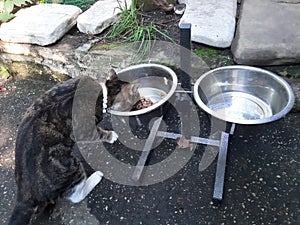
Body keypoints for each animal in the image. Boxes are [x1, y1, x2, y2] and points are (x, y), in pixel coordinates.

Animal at [7, 69, 140, 225]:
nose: (140, 99)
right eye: (137, 96)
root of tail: (24, 194)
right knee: (76, 195)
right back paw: (96, 177)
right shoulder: (85, 130)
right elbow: (98, 134)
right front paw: (111, 135)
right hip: (70, 167)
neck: (104, 92)